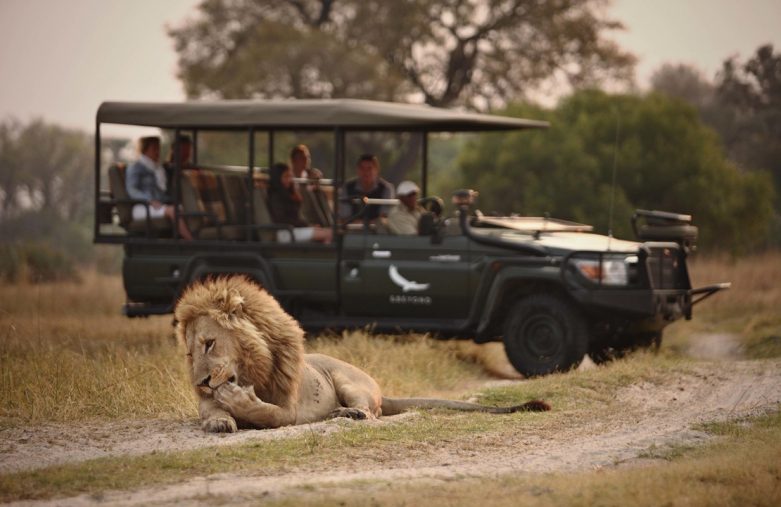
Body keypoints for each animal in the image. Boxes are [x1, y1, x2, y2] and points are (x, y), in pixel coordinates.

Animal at [175, 276, 548, 434]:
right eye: (190, 354)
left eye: (210, 343)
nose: (202, 382)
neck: (250, 368)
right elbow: (210, 410)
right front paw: (220, 417)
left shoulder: (289, 409)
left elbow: (268, 413)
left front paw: (238, 400)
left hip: (348, 381)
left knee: (371, 414)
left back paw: (348, 414)